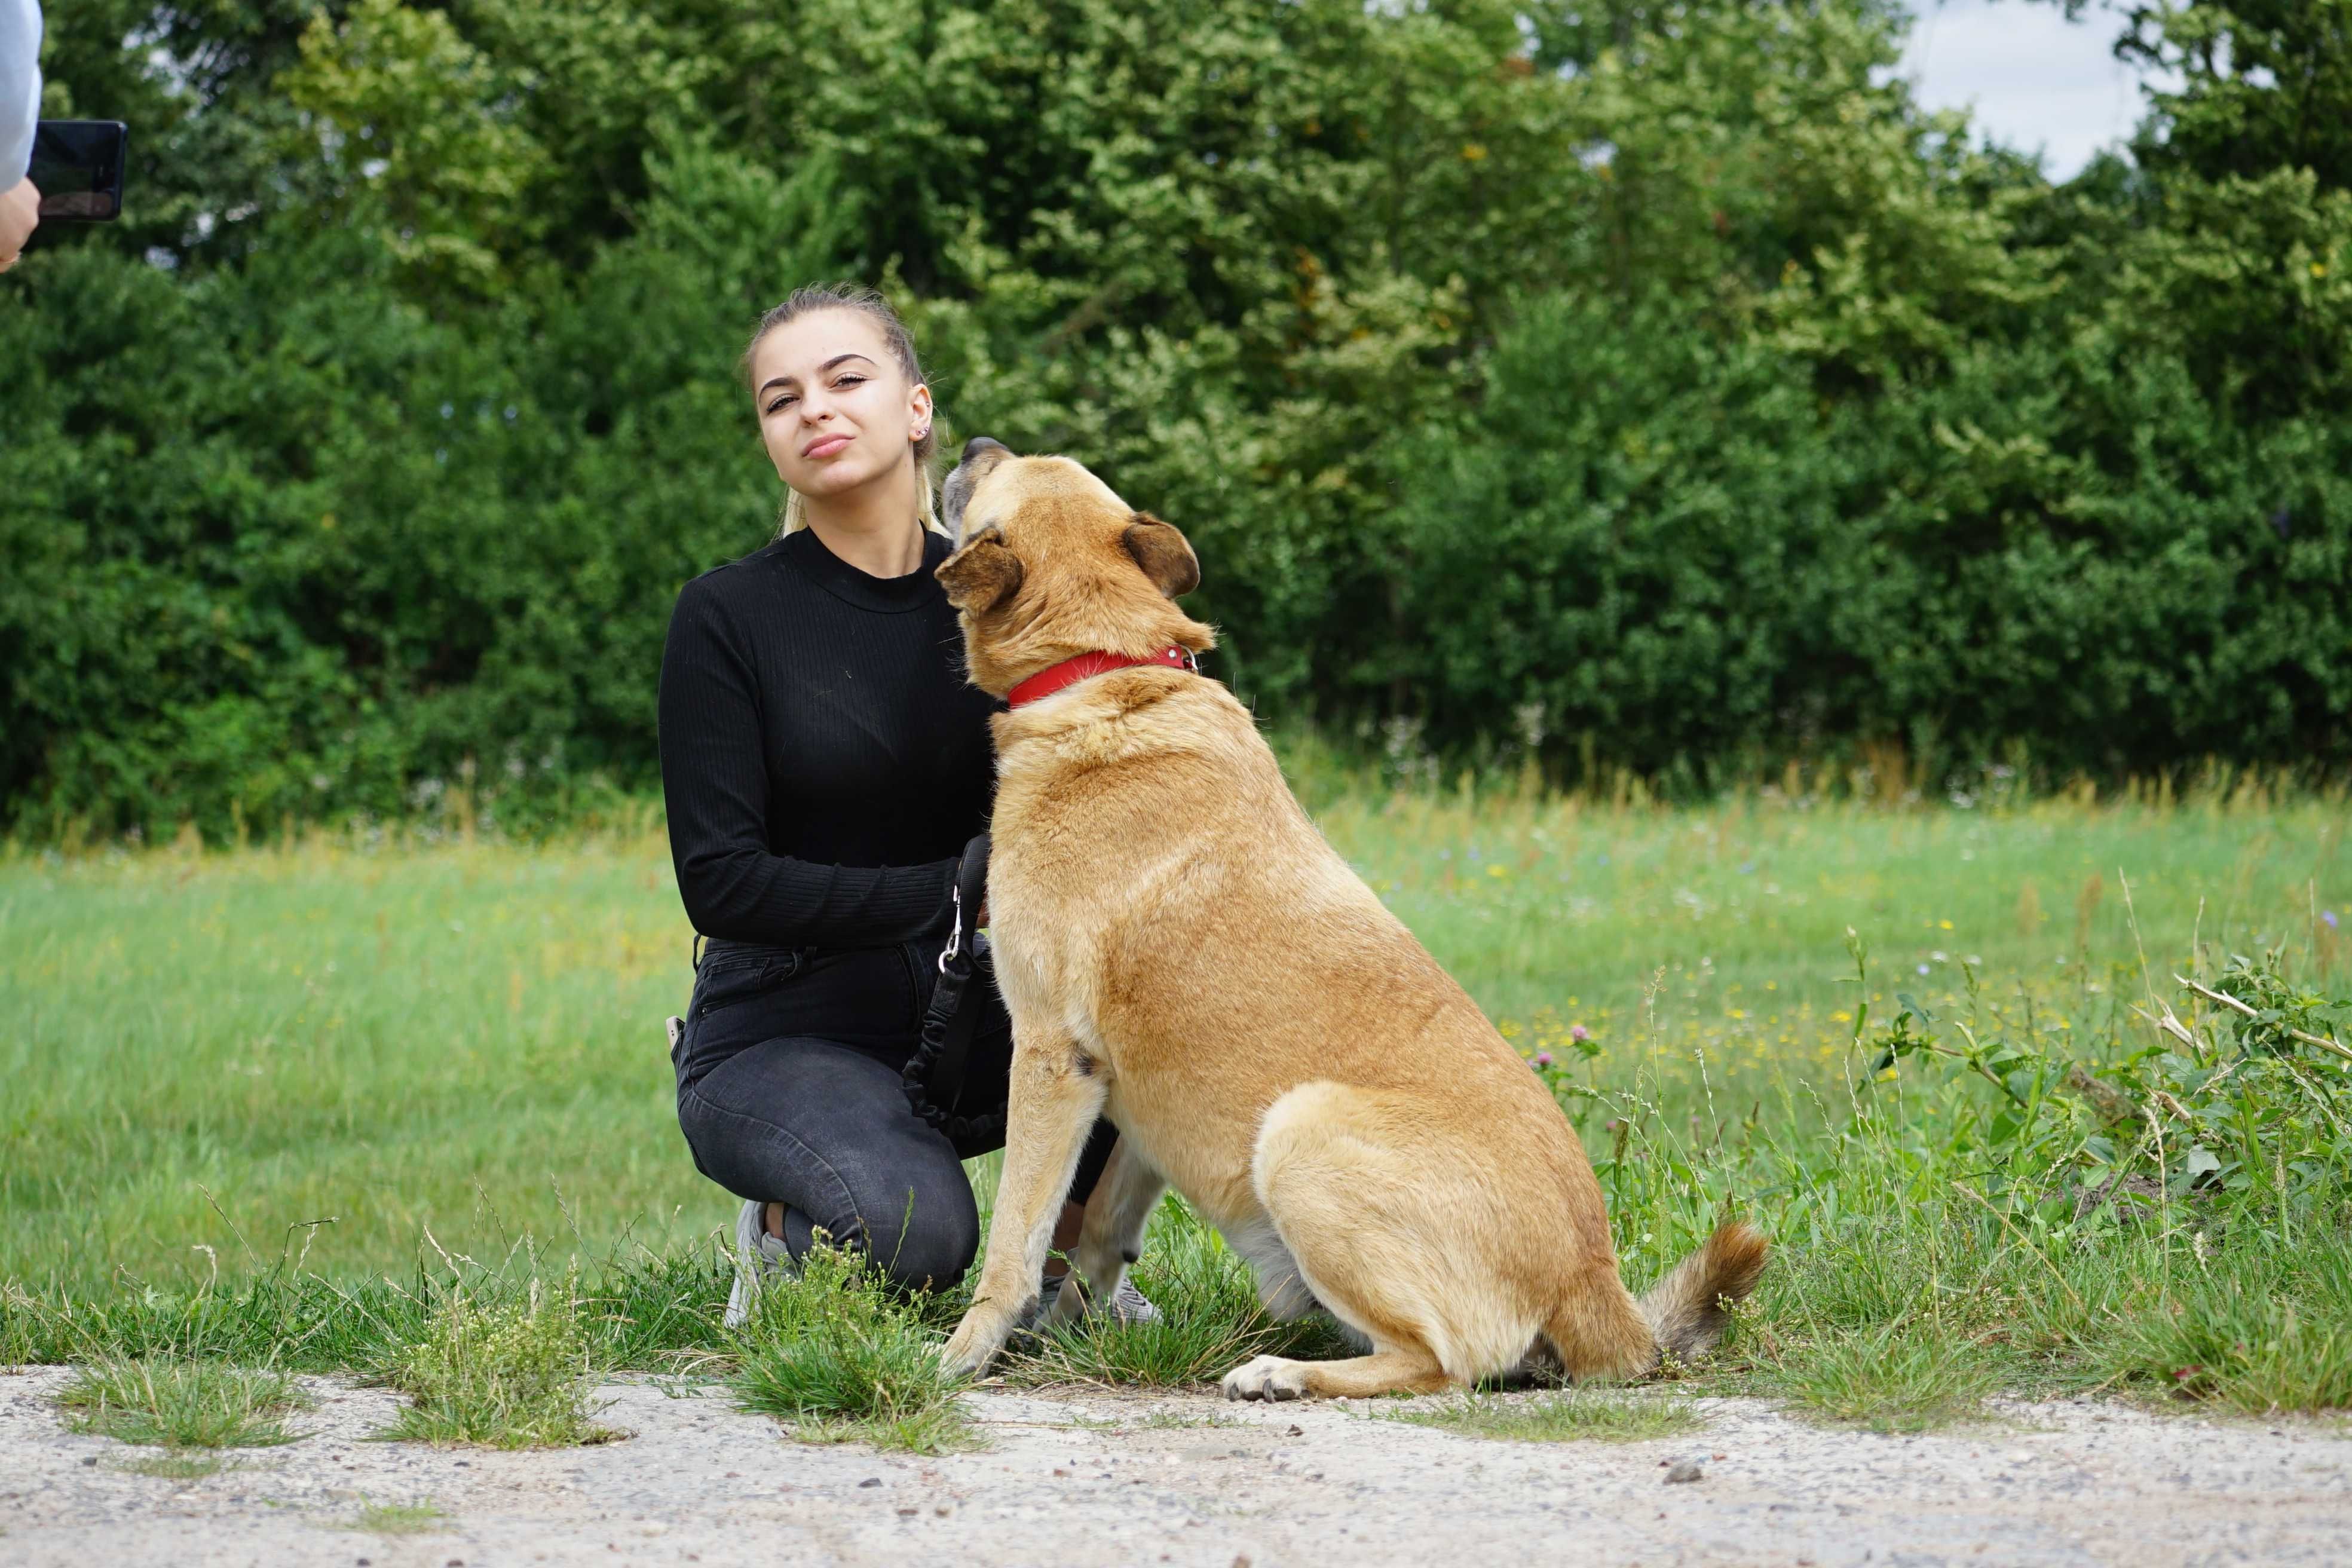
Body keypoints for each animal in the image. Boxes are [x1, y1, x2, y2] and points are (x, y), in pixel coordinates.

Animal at [926, 439, 1759, 1401]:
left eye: (1004, 473)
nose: (974, 445)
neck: (1103, 668)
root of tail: (1595, 1285)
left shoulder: (1053, 1057)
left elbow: (1013, 1246)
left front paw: (967, 1352)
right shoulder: (1134, 1092)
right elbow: (1098, 1231)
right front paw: (1068, 1335)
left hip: (1300, 1131)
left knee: (1440, 1365)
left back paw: (1280, 1372)